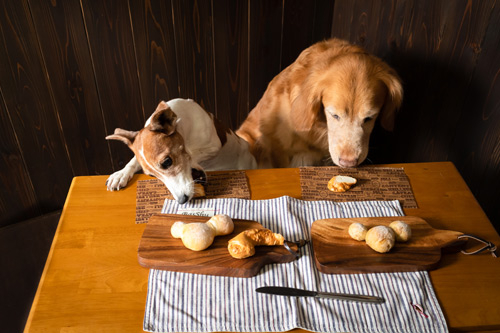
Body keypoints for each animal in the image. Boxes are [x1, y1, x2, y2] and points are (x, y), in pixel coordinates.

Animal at [104, 97, 256, 204]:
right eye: (151, 176)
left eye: (167, 162)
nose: (182, 200)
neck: (183, 126)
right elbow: (133, 160)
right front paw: (121, 174)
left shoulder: (213, 145)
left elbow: (191, 153)